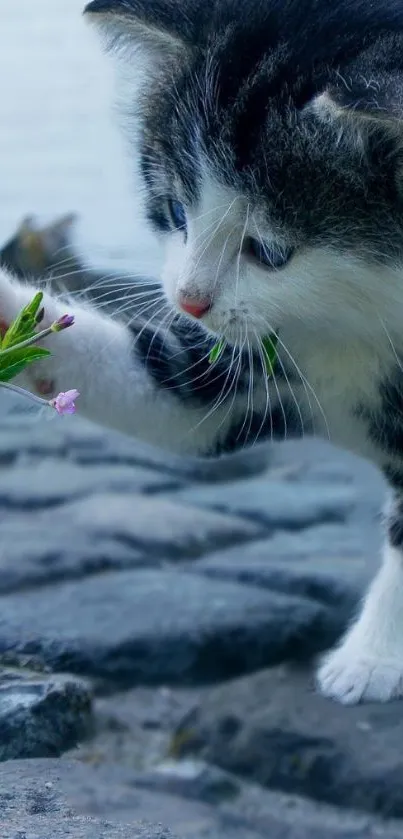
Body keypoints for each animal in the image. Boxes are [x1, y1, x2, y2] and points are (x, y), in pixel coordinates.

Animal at [3, 0, 403, 704]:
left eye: (269, 251)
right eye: (173, 211)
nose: (189, 301)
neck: (362, 322)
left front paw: (373, 657)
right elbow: (176, 401)